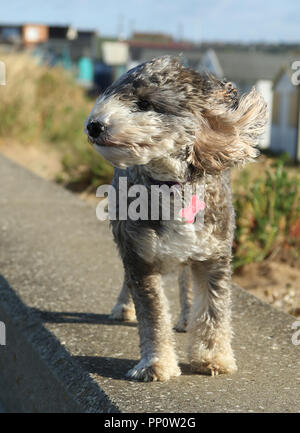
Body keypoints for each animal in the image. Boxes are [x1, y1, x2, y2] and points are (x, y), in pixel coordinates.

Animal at [85, 56, 268, 382]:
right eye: (110, 95)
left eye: (144, 103)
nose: (93, 125)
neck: (171, 187)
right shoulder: (139, 258)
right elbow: (153, 314)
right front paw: (156, 364)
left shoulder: (214, 257)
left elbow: (213, 309)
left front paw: (212, 358)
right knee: (129, 283)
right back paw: (123, 308)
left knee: (187, 284)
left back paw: (185, 319)